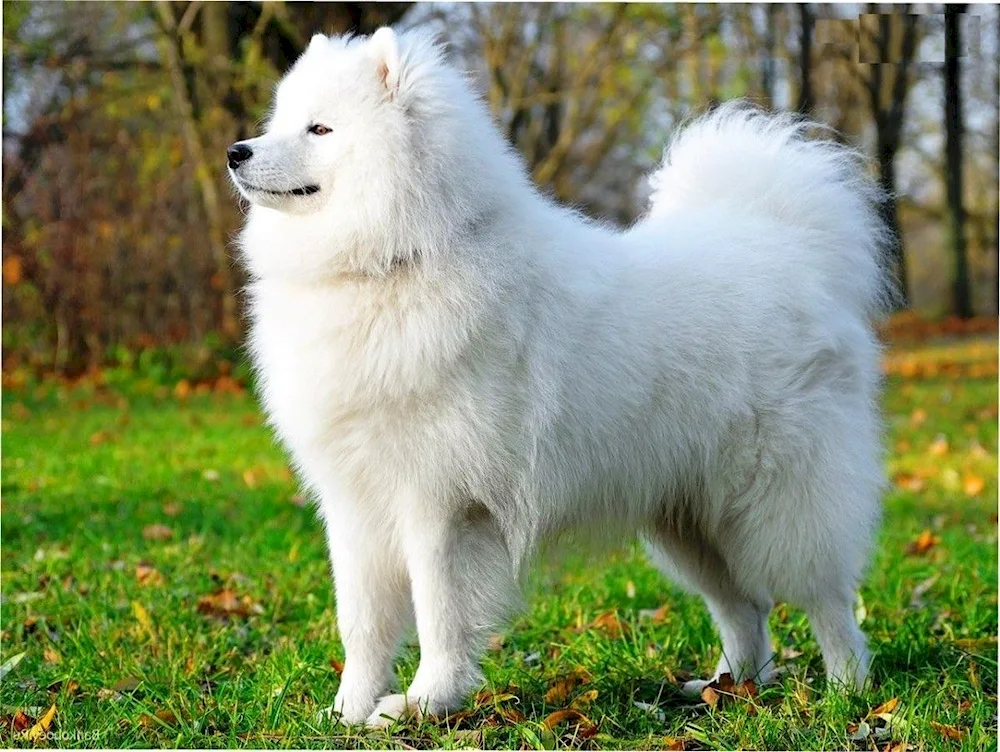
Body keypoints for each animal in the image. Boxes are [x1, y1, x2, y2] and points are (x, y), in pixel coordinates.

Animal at [229, 27, 892, 728]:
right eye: (279, 122)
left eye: (320, 128)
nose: (237, 151)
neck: (392, 261)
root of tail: (787, 245)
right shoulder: (355, 505)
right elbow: (360, 623)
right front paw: (348, 712)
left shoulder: (440, 504)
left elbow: (439, 615)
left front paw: (426, 702)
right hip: (687, 519)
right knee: (744, 607)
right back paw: (728, 689)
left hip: (779, 502)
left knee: (824, 597)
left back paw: (849, 690)